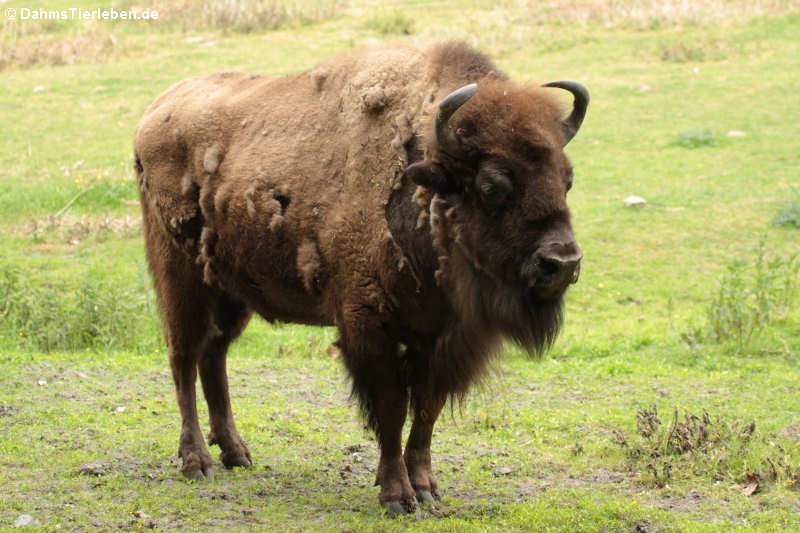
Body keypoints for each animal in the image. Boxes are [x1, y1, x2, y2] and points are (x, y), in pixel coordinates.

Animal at [134, 41, 588, 516]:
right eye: (491, 186)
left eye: (567, 179)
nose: (562, 263)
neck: (420, 181)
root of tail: (154, 113)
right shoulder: (369, 326)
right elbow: (390, 409)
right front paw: (397, 496)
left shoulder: (439, 339)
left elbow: (427, 409)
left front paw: (426, 486)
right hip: (180, 280)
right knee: (183, 357)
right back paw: (196, 461)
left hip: (230, 291)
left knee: (213, 355)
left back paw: (236, 453)